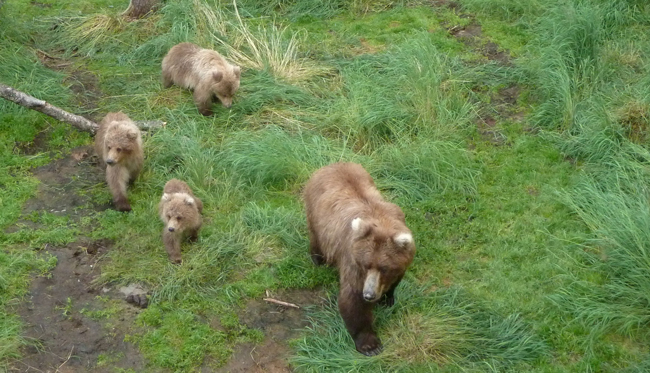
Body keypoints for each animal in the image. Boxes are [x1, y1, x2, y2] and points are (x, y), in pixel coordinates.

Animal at [304, 162, 416, 354]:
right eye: (366, 264)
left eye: (384, 268)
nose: (369, 294)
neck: (381, 221)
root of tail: (331, 164)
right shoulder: (352, 262)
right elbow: (353, 301)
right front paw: (370, 345)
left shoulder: (402, 262)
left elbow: (395, 280)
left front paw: (387, 299)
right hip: (316, 215)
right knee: (316, 237)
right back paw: (319, 260)